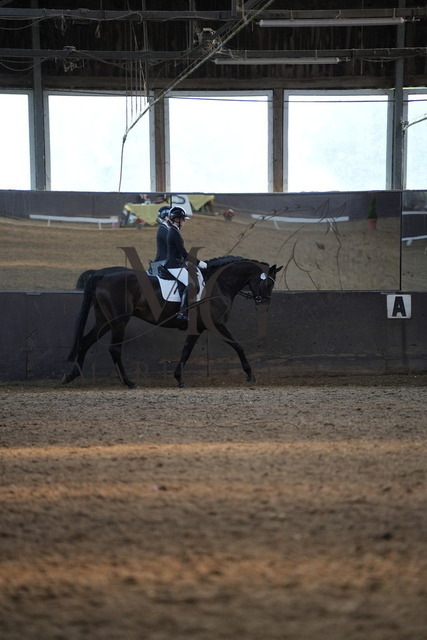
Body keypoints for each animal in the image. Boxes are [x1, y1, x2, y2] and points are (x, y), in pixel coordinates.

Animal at [62, 256, 282, 389]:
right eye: (268, 283)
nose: (265, 305)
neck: (218, 284)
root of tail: (102, 275)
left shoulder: (198, 328)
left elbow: (186, 351)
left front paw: (179, 379)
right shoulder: (215, 325)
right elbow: (237, 346)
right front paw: (250, 375)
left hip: (104, 320)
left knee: (85, 341)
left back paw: (72, 375)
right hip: (119, 322)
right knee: (114, 349)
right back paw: (129, 382)